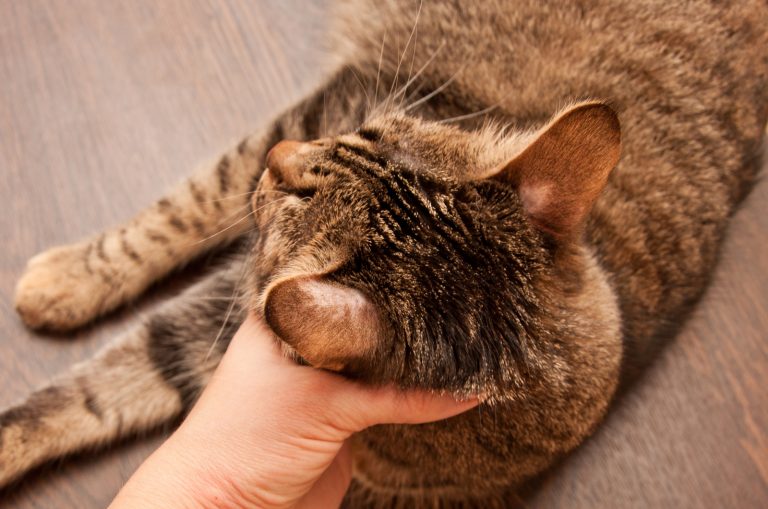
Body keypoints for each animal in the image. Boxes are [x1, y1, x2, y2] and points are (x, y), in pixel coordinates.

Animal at [1, 0, 768, 506]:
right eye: (368, 130)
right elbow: (185, 213)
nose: (281, 158)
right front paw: (64, 283)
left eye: (294, 192)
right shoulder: (335, 99)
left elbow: (120, 370)